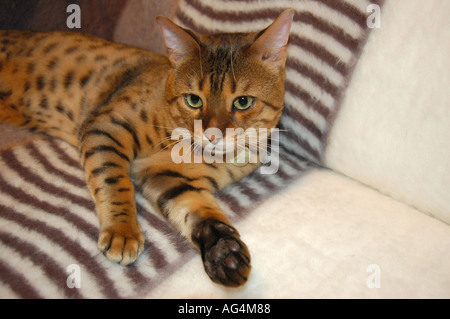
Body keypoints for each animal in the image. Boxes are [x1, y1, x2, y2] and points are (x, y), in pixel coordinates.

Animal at [0, 9, 294, 288]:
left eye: (243, 102)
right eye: (193, 99)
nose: (212, 135)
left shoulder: (170, 178)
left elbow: (199, 213)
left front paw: (224, 254)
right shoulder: (106, 126)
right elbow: (114, 181)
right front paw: (122, 232)